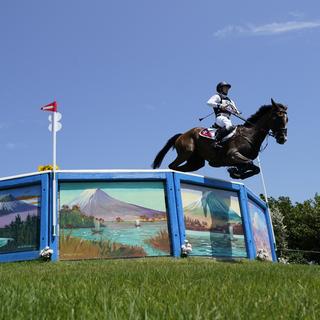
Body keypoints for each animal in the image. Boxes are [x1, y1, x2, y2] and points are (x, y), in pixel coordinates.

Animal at [151, 99, 288, 179]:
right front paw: (235, 172)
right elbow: (249, 163)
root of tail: (181, 135)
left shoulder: (238, 160)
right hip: (186, 152)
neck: (250, 135)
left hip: (196, 162)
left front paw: (235, 173)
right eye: (278, 117)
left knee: (182, 168)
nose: (283, 139)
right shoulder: (232, 155)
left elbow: (254, 168)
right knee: (172, 165)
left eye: (287, 119)